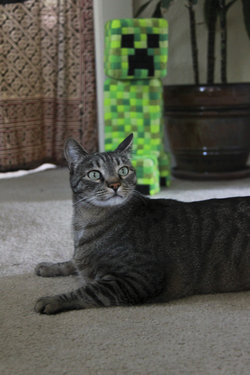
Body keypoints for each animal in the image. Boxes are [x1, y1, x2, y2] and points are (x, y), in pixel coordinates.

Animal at [34, 135, 250, 314]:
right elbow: (72, 262)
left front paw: (52, 299)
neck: (83, 223)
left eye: (123, 170)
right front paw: (49, 267)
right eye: (94, 174)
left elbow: (89, 290)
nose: (114, 185)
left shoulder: (138, 278)